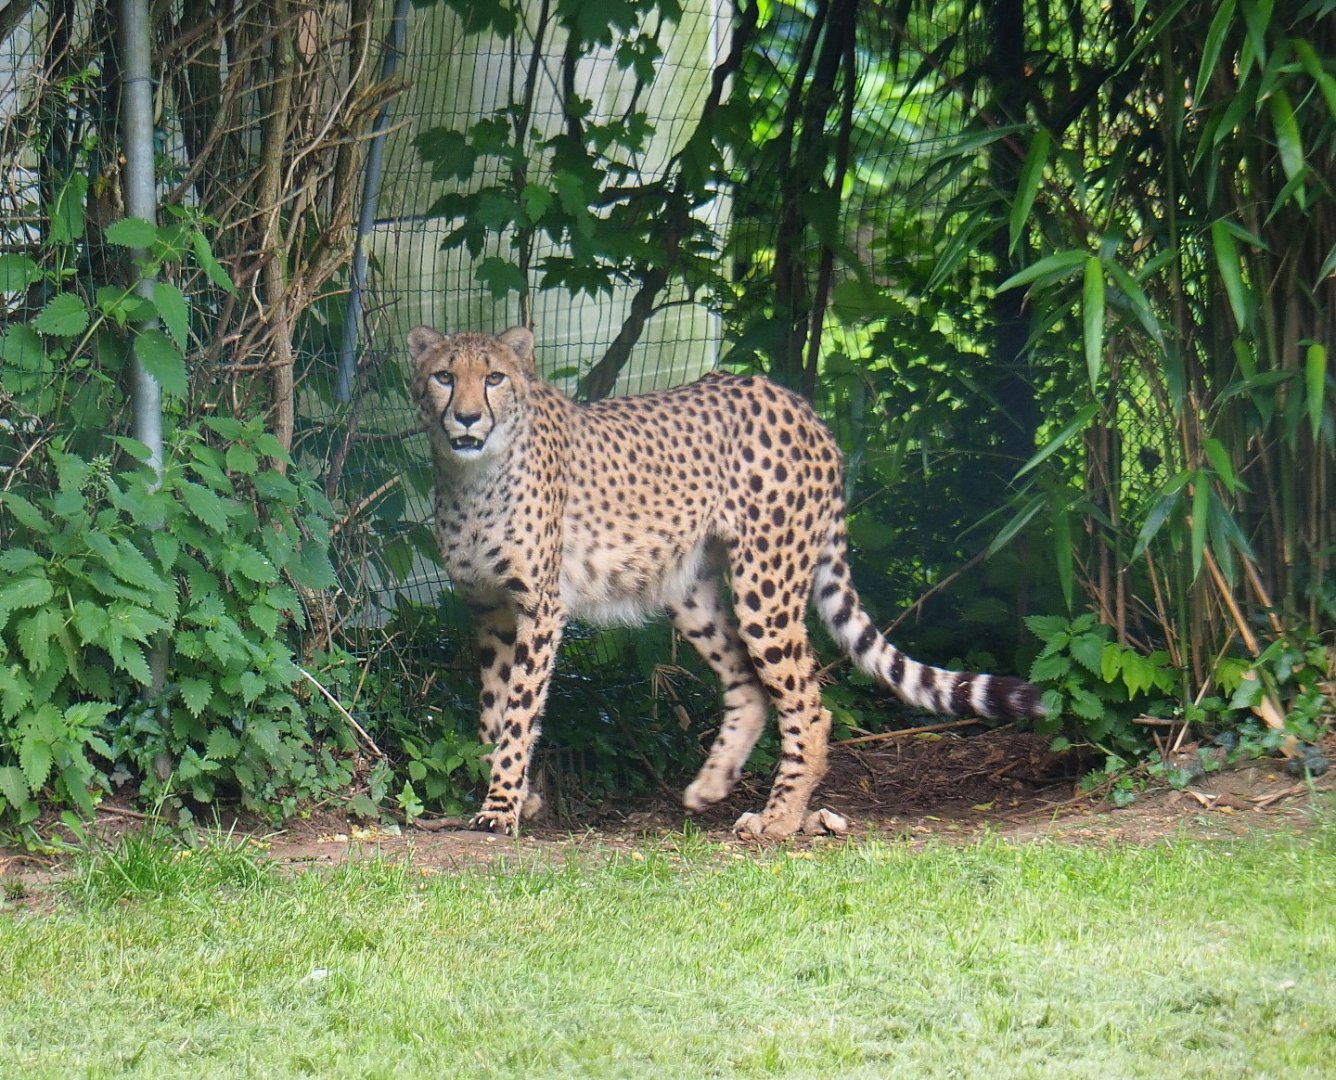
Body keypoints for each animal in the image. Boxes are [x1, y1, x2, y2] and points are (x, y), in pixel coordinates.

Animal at [408, 324, 1046, 838]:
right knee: (750, 686)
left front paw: (501, 807)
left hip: (766, 584)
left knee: (808, 705)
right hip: (690, 591)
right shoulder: (489, 609)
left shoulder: (540, 608)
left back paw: (779, 819)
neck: (471, 474)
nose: (467, 417)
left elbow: (519, 709)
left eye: (494, 378)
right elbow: (492, 708)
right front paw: (519, 794)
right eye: (444, 376)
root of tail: (795, 400)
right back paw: (713, 785)